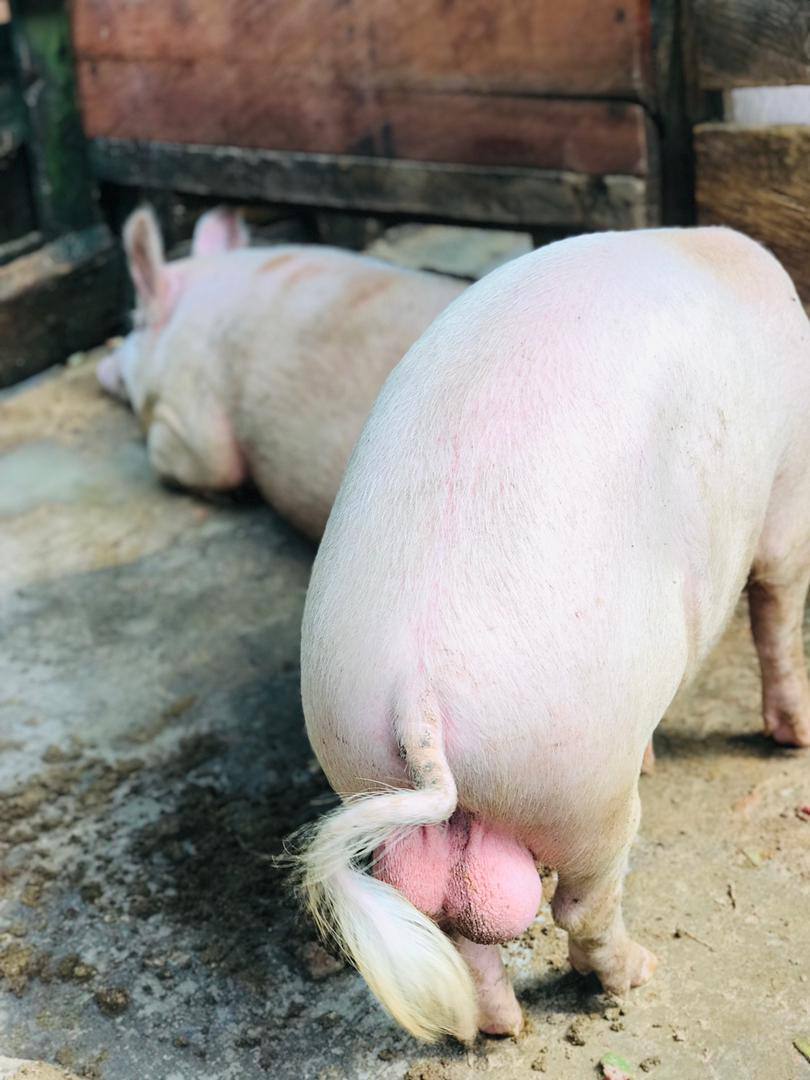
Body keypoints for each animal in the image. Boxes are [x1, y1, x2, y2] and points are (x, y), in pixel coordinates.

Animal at [296, 226, 810, 1042]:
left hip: (366, 759)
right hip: (583, 788)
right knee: (581, 906)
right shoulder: (790, 487)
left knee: (458, 933)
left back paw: (499, 1028)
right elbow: (778, 604)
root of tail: (418, 694)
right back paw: (638, 975)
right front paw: (798, 741)